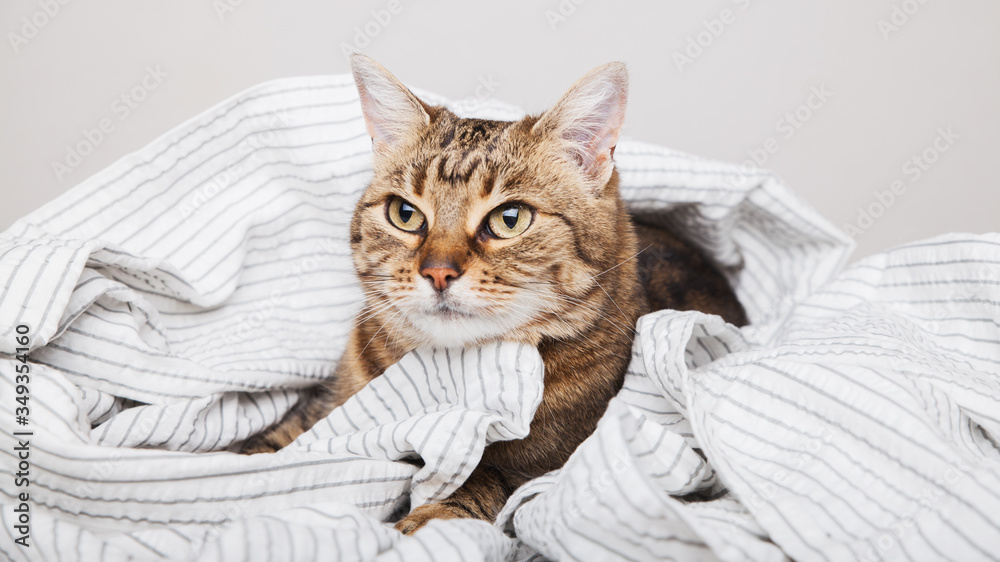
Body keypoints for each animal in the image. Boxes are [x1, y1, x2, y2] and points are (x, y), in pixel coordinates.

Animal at [240, 54, 744, 532]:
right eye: (404, 213)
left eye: (510, 218)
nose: (438, 272)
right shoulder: (327, 408)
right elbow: (268, 450)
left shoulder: (555, 465)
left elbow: (488, 477)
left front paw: (430, 516)